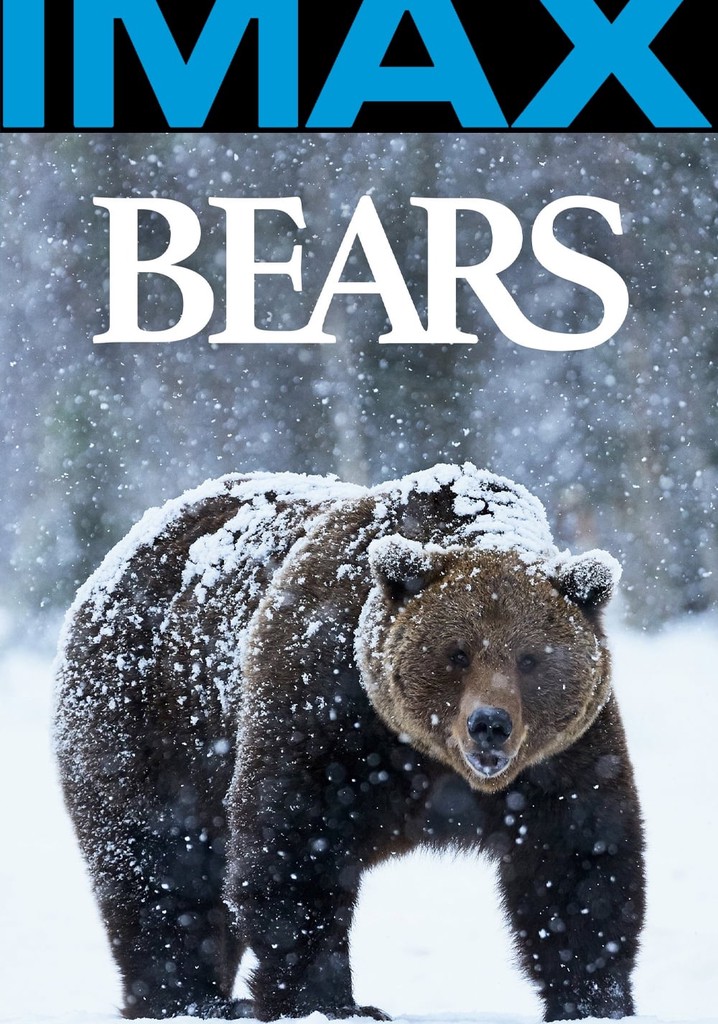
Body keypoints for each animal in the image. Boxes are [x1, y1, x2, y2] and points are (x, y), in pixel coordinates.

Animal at [53, 463, 645, 1022]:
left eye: (530, 659)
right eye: (457, 653)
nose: (489, 724)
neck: (429, 758)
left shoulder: (564, 755)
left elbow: (579, 860)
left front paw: (593, 999)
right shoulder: (324, 708)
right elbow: (294, 848)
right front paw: (330, 1001)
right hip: (148, 719)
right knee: (160, 863)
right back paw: (189, 999)